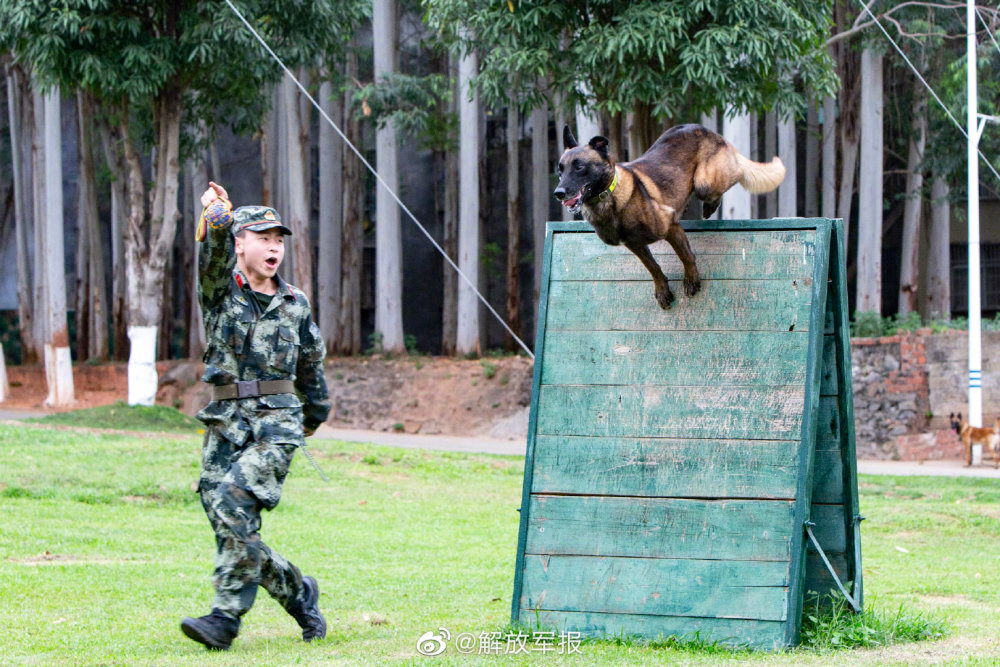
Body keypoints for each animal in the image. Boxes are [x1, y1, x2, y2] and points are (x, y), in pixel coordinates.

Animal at [556, 124, 780, 310]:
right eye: (560, 170)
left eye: (579, 167)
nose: (558, 193)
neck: (609, 199)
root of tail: (706, 129)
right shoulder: (634, 244)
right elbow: (652, 266)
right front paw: (662, 290)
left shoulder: (671, 227)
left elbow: (685, 255)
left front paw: (691, 279)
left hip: (706, 184)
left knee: (737, 173)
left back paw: (711, 204)